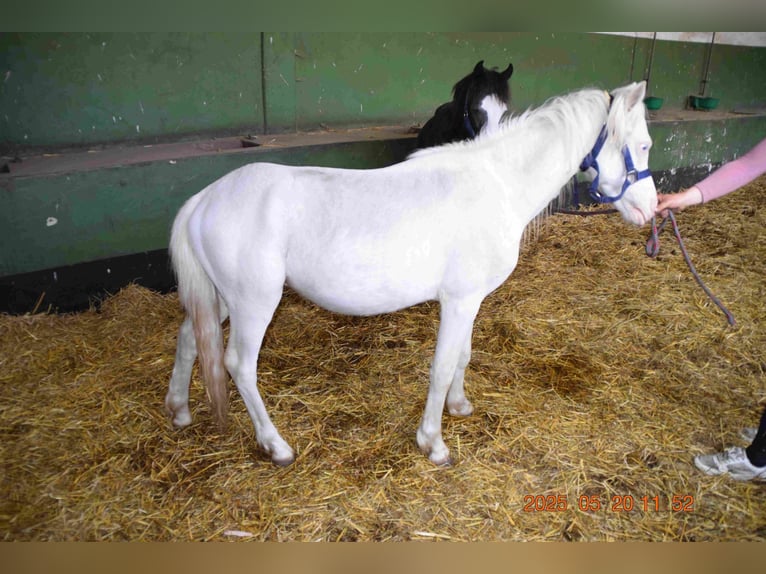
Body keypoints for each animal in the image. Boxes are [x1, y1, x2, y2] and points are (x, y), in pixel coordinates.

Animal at [165, 81, 657, 467]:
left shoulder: (471, 300)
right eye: (644, 145)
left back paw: (180, 410)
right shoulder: (458, 301)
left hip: (222, 299)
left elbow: (462, 356)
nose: (652, 208)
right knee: (238, 365)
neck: (497, 182)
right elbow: (440, 367)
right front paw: (433, 443)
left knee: (190, 336)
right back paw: (276, 446)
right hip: (255, 303)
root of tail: (204, 199)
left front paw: (459, 405)